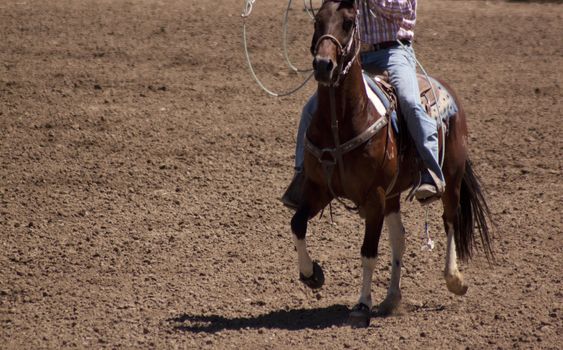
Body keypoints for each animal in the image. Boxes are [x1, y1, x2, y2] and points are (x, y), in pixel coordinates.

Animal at [290, 0, 494, 328]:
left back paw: (454, 280)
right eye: (317, 21)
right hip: (393, 194)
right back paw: (391, 298)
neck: (341, 121)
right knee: (400, 238)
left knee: (449, 219)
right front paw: (311, 274)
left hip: (450, 175)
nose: (323, 65)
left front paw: (361, 305)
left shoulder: (373, 196)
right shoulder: (318, 188)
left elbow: (368, 252)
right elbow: (297, 225)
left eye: (348, 23)